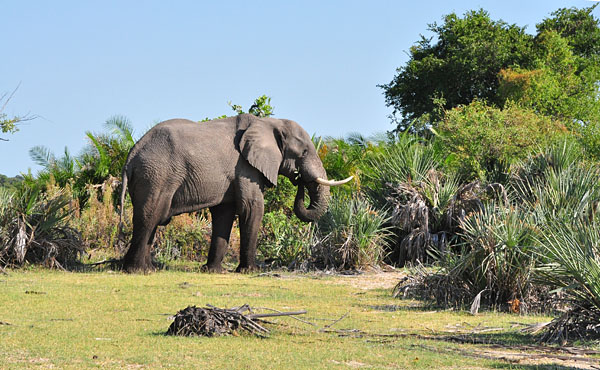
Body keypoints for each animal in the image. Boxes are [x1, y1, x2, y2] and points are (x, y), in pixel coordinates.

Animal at [118, 114, 352, 274]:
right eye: (303, 152)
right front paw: (250, 271)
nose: (298, 178)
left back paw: (147, 269)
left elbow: (224, 214)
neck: (269, 123)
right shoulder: (246, 167)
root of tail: (132, 154)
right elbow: (252, 208)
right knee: (151, 216)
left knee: (152, 219)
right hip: (156, 175)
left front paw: (213, 271)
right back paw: (138, 271)